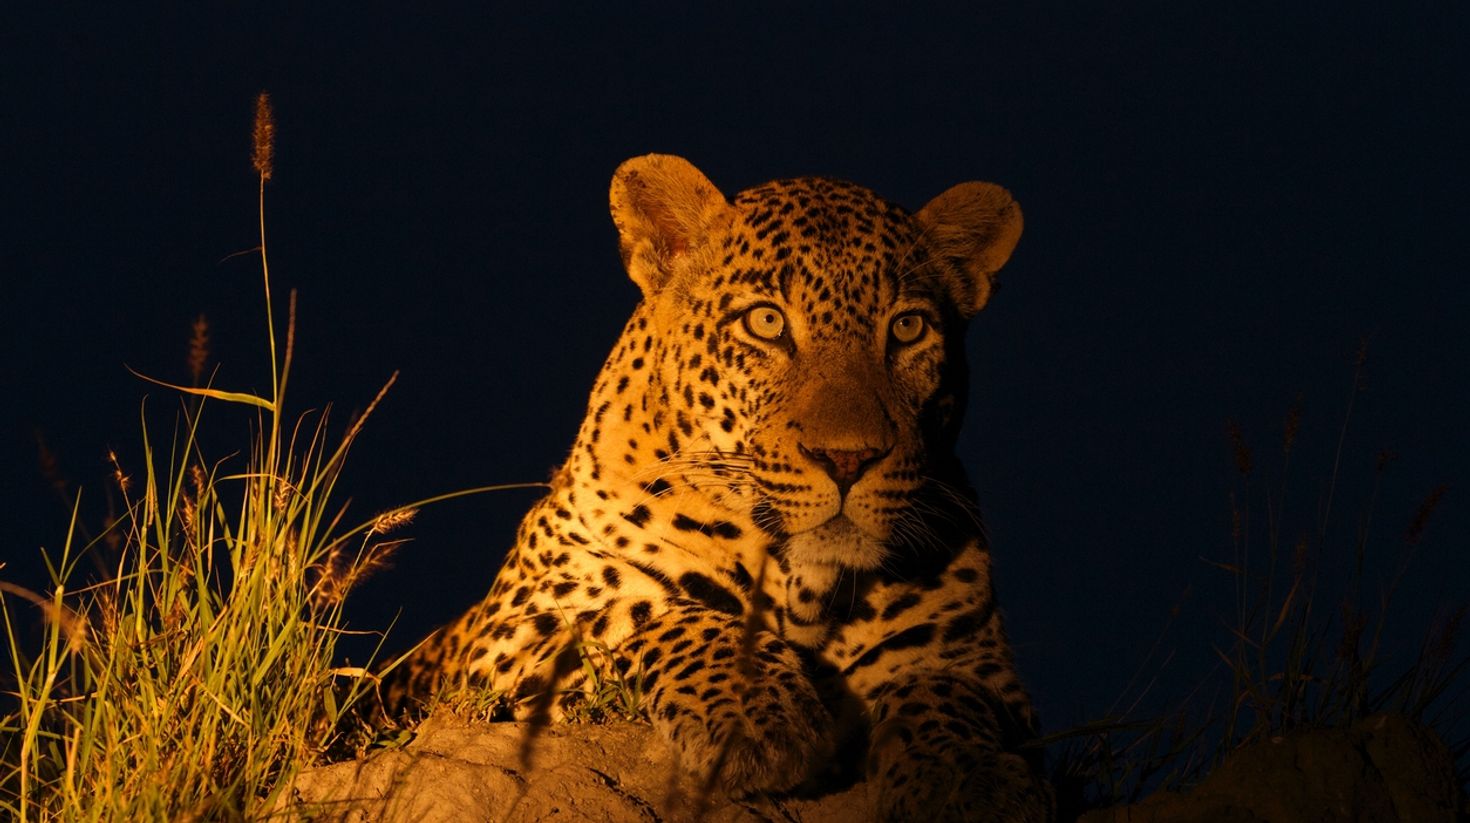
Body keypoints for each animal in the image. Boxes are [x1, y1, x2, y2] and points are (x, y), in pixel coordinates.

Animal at [384, 154, 1052, 821]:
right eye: (766, 321)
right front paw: (755, 719)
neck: (804, 587)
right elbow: (648, 613)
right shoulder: (514, 627)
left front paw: (968, 781)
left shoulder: (982, 666)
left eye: (909, 329)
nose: (848, 458)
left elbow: (945, 694)